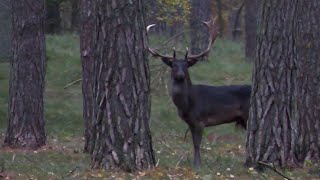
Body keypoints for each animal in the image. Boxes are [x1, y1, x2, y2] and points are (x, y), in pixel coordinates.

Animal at [146, 17, 251, 168]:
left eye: (186, 65)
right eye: (173, 65)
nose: (180, 75)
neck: (187, 105)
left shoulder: (201, 120)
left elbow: (197, 143)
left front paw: (197, 165)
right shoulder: (190, 122)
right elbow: (193, 142)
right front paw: (196, 163)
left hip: (247, 114)